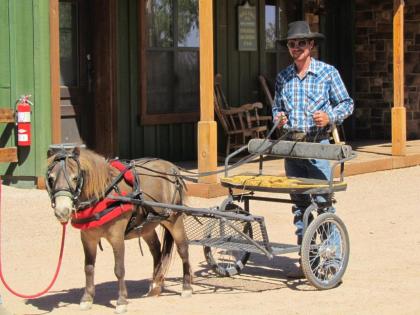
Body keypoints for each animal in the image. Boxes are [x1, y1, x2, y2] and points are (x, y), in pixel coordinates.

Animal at [46, 148, 192, 314]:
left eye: (75, 177)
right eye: (50, 179)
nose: (62, 211)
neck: (105, 195)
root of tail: (172, 168)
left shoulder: (117, 237)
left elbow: (119, 269)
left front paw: (121, 301)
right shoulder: (88, 238)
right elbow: (88, 268)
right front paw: (87, 299)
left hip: (174, 220)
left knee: (183, 249)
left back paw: (186, 287)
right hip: (147, 226)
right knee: (156, 251)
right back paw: (155, 285)